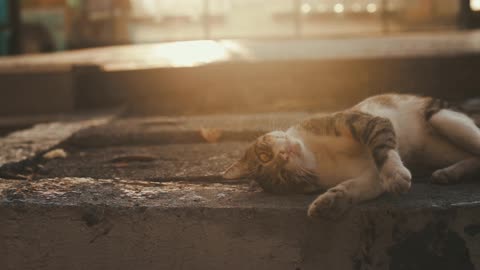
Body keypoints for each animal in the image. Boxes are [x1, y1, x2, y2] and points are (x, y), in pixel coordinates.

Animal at [222, 94, 480, 218]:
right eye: (283, 177)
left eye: (265, 156)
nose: (284, 155)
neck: (319, 156)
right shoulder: (369, 176)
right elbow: (358, 186)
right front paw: (328, 203)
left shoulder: (362, 121)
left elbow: (381, 145)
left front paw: (396, 174)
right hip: (437, 152)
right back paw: (449, 173)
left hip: (443, 118)